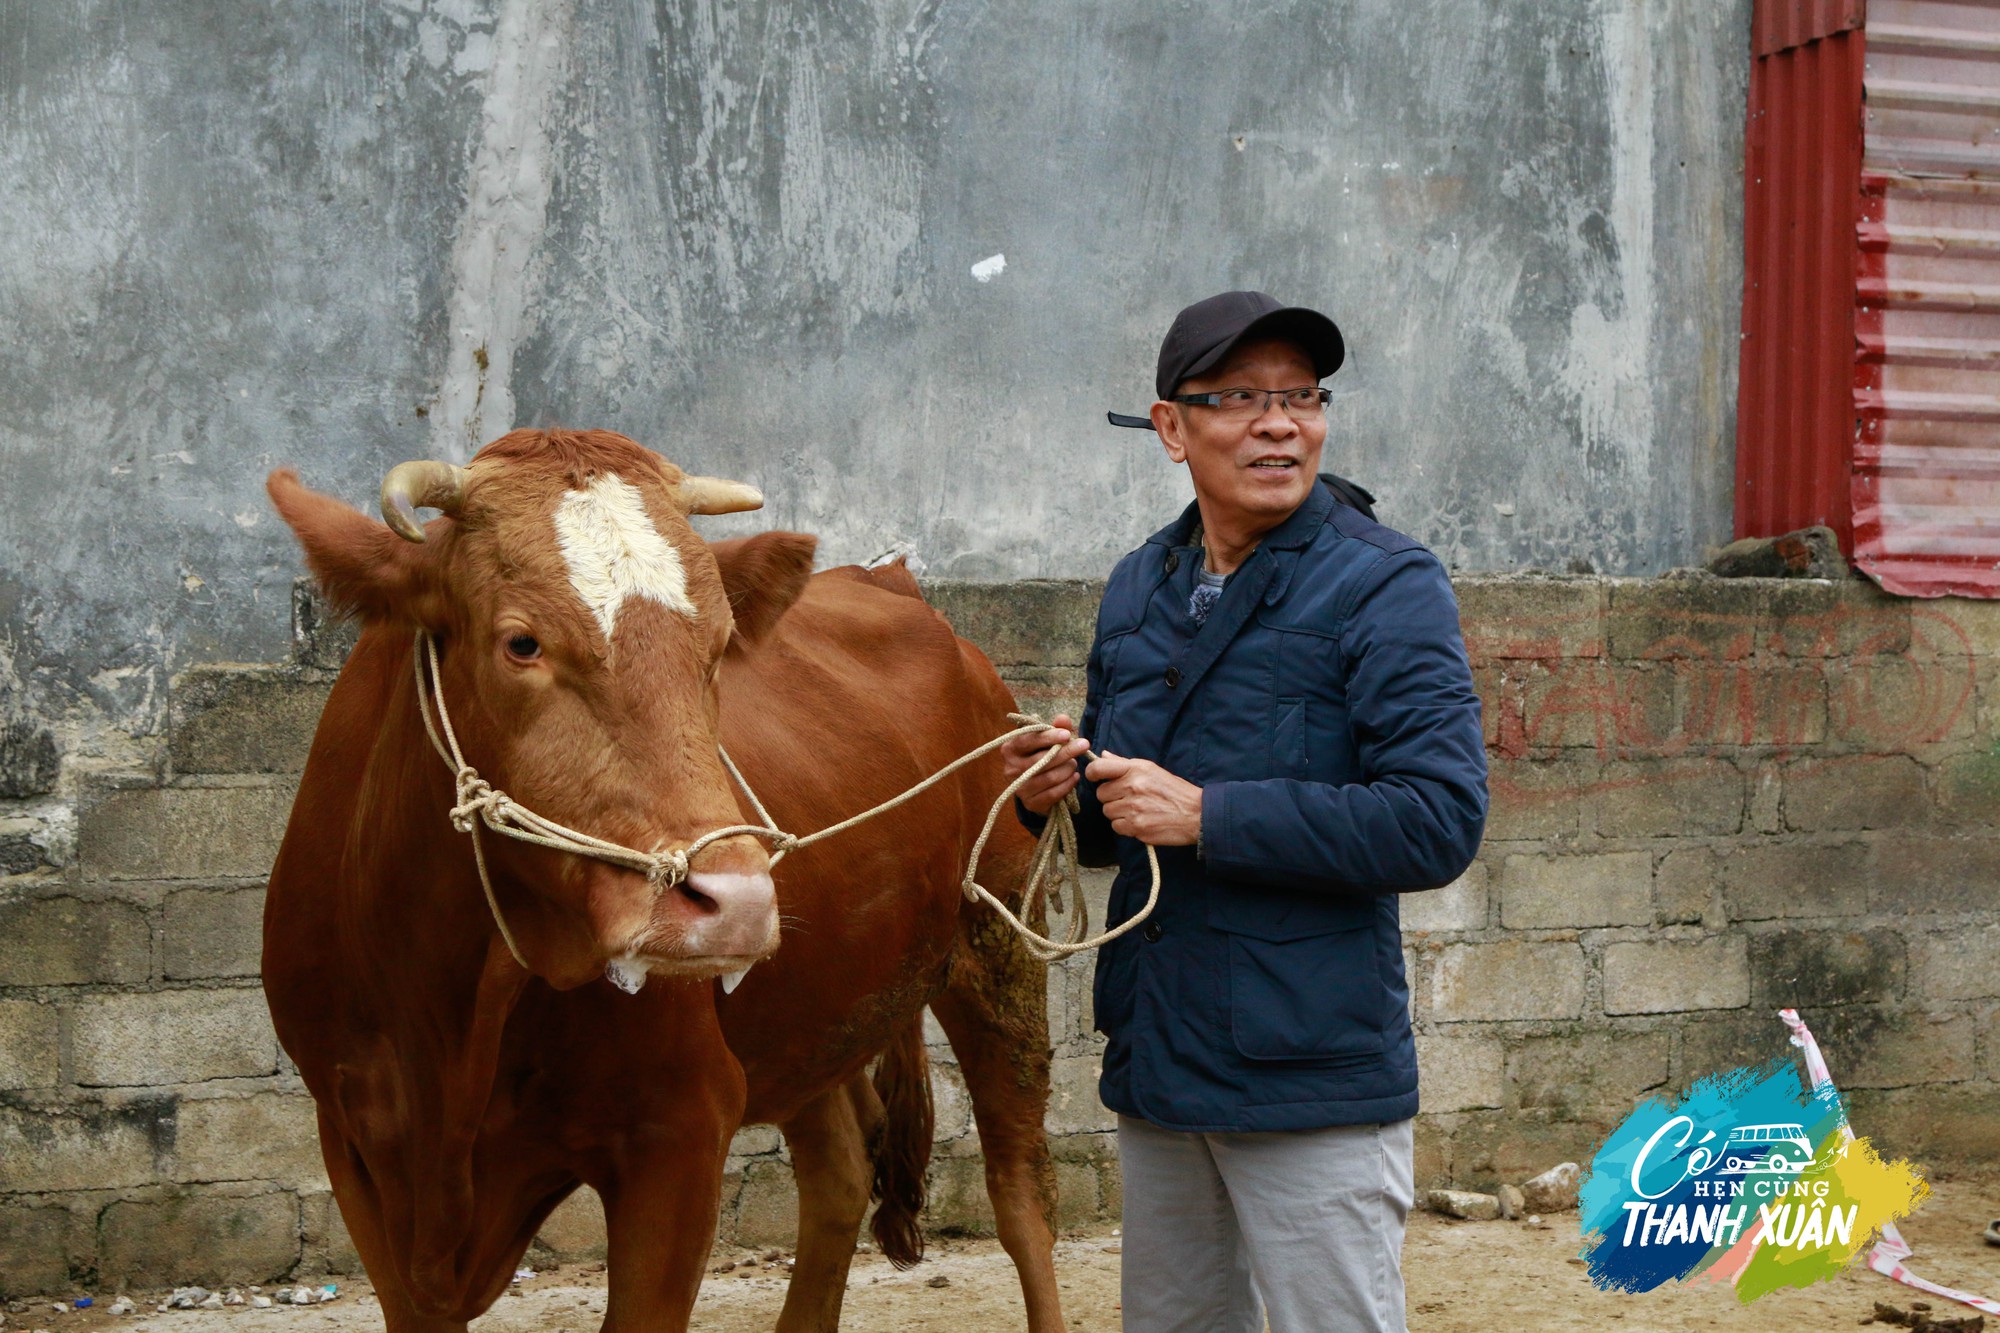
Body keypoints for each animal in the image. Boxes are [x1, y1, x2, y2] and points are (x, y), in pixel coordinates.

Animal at [274, 428, 1072, 1328]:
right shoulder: (355, 1149)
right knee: (839, 1170)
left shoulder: (680, 1127)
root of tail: (893, 584)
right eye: (522, 641)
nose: (737, 903)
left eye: (720, 647)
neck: (449, 1012)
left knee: (1020, 1190)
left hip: (999, 945)